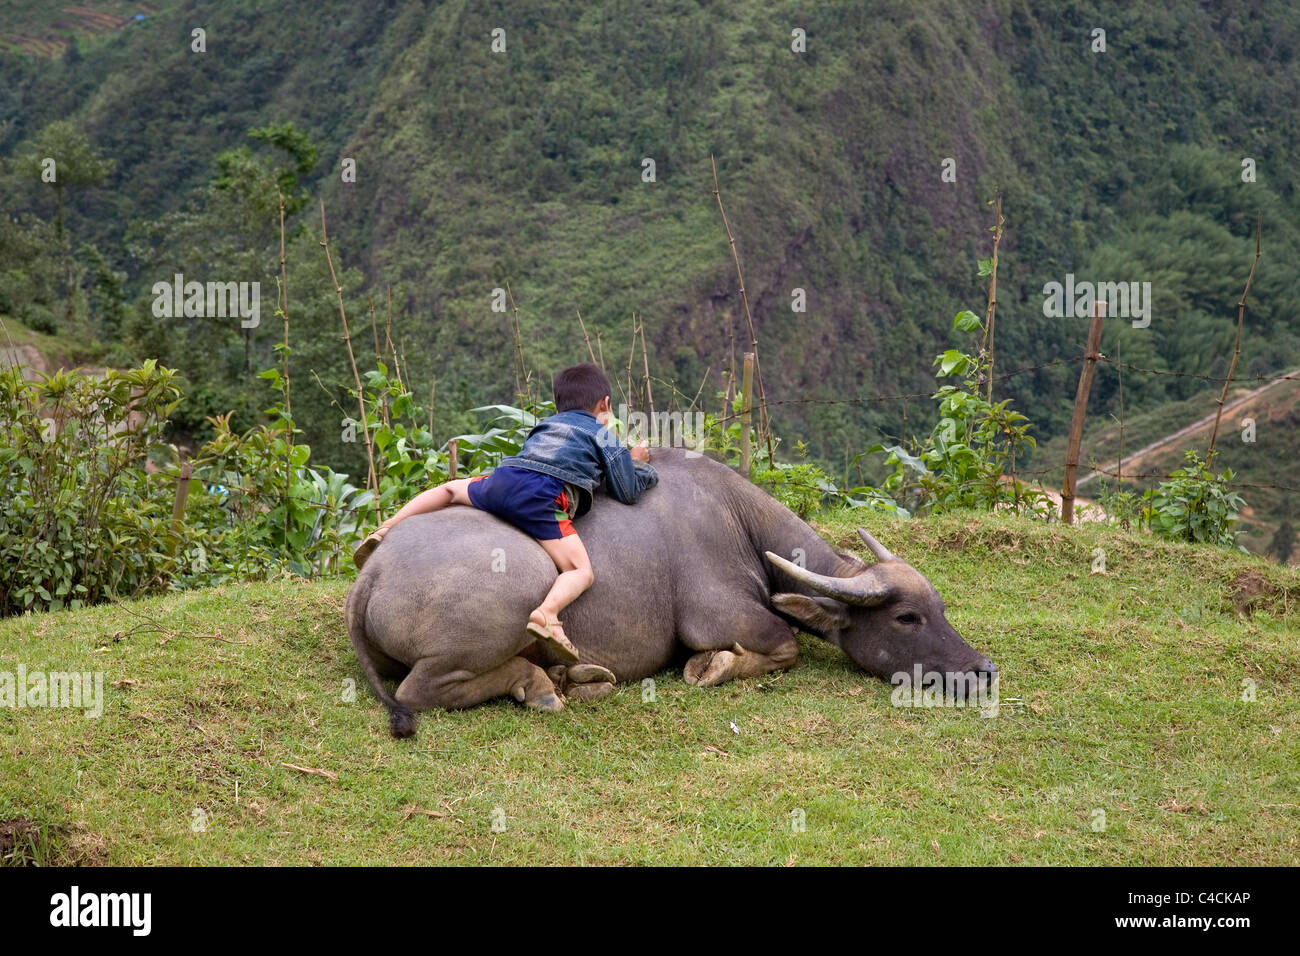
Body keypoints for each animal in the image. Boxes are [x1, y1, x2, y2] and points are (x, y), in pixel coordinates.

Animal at [345, 444, 993, 738]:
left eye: (940, 608)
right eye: (907, 618)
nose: (982, 669)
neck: (739, 522)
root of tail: (372, 575)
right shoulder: (726, 617)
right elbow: (782, 646)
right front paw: (711, 667)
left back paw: (571, 675)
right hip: (517, 589)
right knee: (422, 689)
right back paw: (543, 683)